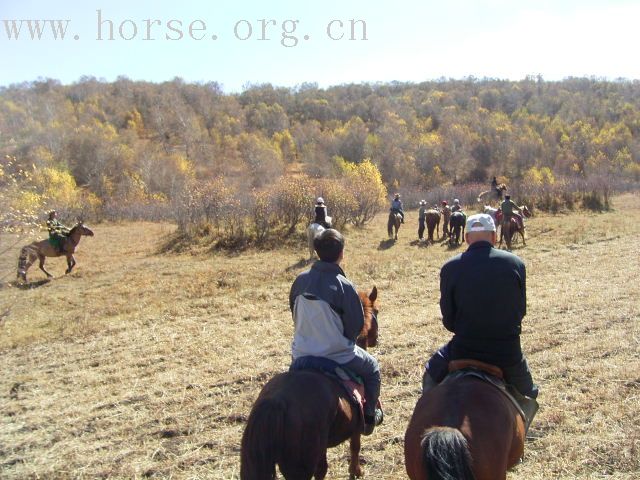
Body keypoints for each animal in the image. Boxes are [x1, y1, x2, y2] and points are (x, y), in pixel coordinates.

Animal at [240, 286, 380, 478]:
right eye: (377, 311)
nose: (376, 339)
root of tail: (276, 402)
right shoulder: (357, 426)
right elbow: (355, 447)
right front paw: (356, 471)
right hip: (300, 465)